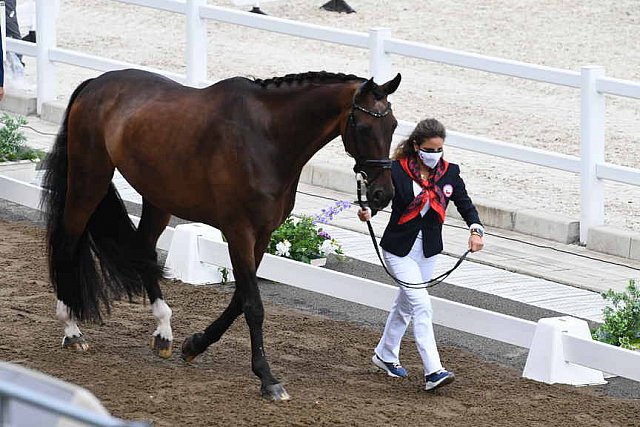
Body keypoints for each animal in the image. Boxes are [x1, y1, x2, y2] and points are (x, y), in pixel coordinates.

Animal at [42, 67, 400, 402]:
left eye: (394, 126)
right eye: (364, 127)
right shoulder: (239, 231)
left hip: (157, 199)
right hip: (89, 181)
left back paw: (164, 332)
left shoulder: (263, 234)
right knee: (67, 243)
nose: (382, 195)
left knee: (142, 252)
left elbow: (240, 297)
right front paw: (268, 379)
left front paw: (194, 345)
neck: (268, 137)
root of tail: (96, 83)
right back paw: (72, 330)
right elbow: (253, 304)